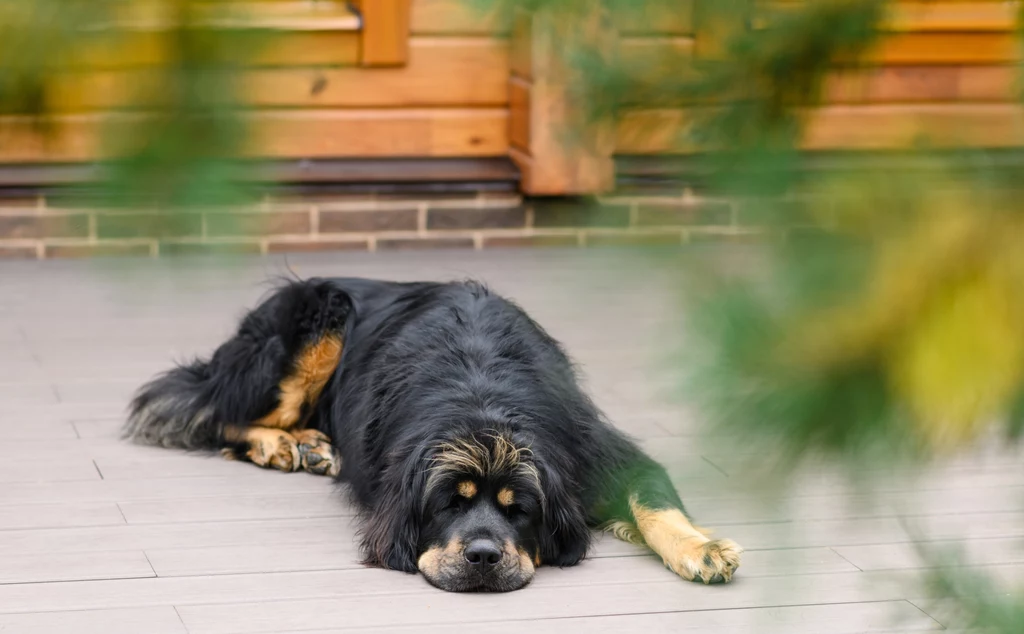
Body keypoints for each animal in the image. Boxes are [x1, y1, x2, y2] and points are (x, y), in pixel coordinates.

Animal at [123, 274, 741, 594]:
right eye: (449, 504)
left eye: (520, 510)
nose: (485, 556)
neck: (481, 395)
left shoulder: (594, 449)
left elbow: (654, 500)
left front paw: (701, 548)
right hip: (314, 320)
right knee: (212, 411)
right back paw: (285, 443)